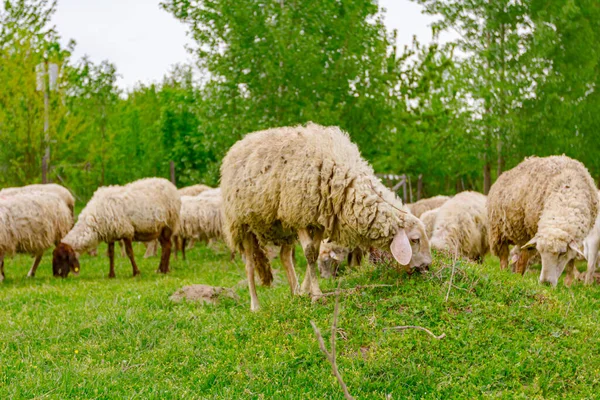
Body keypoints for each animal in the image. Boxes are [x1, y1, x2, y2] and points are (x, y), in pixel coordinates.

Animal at [220, 123, 432, 310]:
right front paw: (317, 295)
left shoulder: (321, 219)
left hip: (284, 224)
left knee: (285, 257)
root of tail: (242, 142)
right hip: (242, 224)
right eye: (415, 240)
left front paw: (306, 291)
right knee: (249, 265)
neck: (343, 180)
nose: (427, 267)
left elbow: (313, 252)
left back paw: (295, 292)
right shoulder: (301, 214)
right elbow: (310, 254)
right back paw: (255, 305)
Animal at [490, 155, 596, 286]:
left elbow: (571, 261)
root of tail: (506, 172)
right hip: (499, 232)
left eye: (562, 253)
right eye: (540, 252)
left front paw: (568, 284)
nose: (545, 283)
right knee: (505, 256)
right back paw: (507, 273)